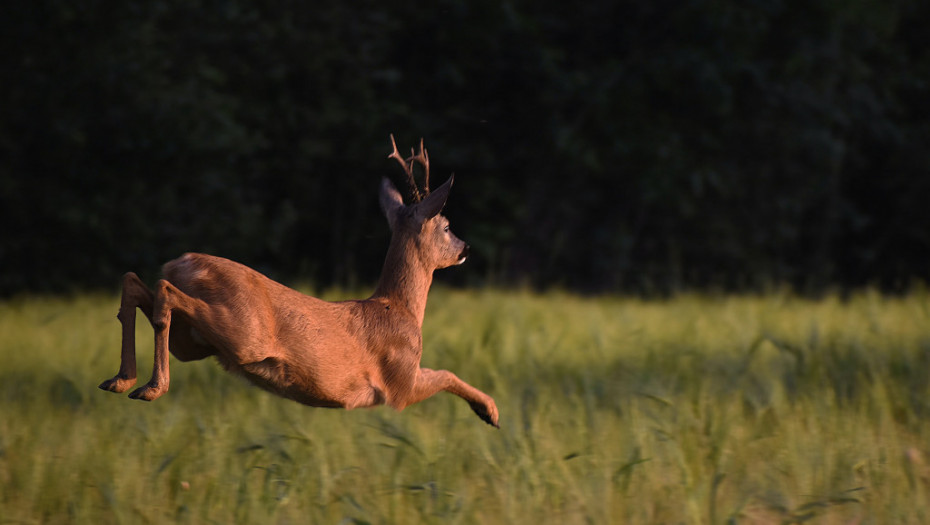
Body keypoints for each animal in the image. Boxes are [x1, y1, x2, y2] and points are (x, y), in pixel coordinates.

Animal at [100, 134, 500, 426]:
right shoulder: (398, 383)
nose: (465, 247)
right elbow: (446, 373)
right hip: (242, 332)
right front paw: (490, 411)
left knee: (136, 282)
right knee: (163, 291)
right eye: (446, 226)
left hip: (195, 342)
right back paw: (151, 387)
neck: (400, 308)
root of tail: (181, 263)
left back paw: (120, 380)